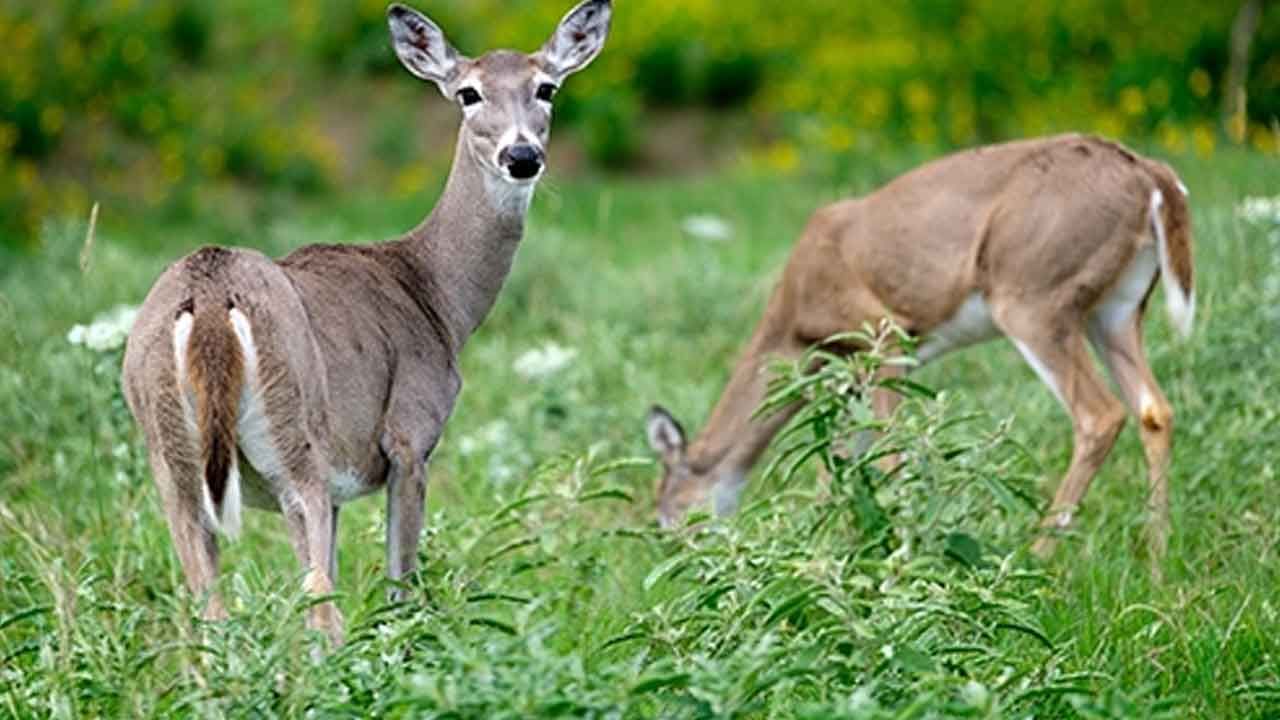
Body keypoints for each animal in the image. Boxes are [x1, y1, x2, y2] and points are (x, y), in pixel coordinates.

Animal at [122, 0, 611, 638]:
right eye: (468, 93)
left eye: (546, 87)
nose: (522, 156)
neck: (437, 296)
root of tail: (208, 298)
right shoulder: (408, 436)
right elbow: (400, 587)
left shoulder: (337, 488)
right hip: (294, 440)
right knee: (317, 607)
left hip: (172, 463)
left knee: (210, 610)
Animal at [645, 131, 1192, 563]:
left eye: (667, 515)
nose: (684, 562)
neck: (794, 325)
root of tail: (1150, 177)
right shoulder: (858, 370)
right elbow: (839, 462)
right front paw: (828, 548)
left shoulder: (883, 335)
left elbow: (887, 452)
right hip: (1117, 308)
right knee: (1155, 410)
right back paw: (1158, 562)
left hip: (1033, 296)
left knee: (1100, 415)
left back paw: (1034, 559)